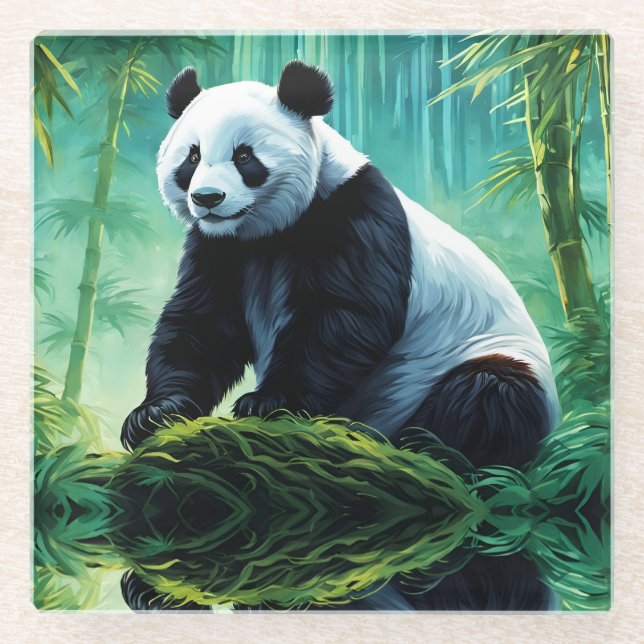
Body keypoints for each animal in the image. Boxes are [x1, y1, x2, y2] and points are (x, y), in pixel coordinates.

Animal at [119, 60, 559, 612]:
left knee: (488, 398)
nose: (207, 198)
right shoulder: (218, 248)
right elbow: (201, 325)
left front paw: (268, 404)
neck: (268, 231)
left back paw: (426, 450)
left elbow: (344, 318)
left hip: (480, 361)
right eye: (192, 157)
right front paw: (156, 413)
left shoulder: (355, 216)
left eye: (245, 157)